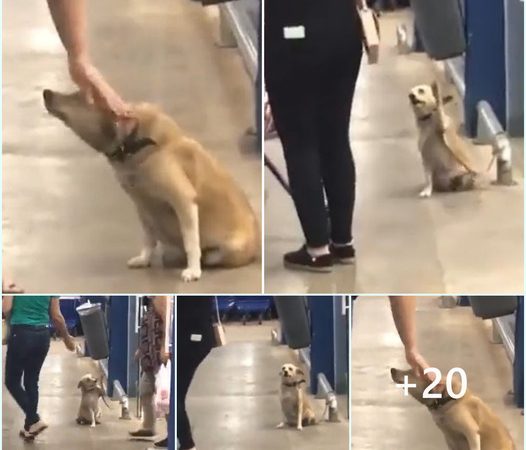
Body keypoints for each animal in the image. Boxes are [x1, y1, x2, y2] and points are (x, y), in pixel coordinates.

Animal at [43, 89, 260, 282]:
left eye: (79, 96)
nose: (46, 92)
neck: (133, 142)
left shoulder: (182, 199)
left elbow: (191, 241)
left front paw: (193, 270)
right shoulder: (142, 205)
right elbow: (148, 237)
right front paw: (144, 258)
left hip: (230, 248)